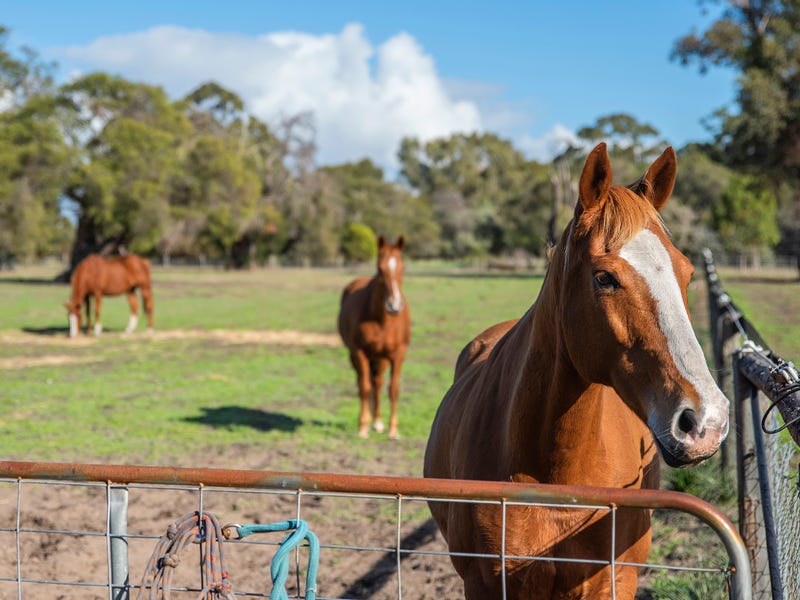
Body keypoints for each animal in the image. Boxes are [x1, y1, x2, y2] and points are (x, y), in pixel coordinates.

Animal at [340, 237, 412, 438]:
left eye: (402, 267)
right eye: (380, 269)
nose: (394, 305)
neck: (382, 321)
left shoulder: (398, 354)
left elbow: (393, 389)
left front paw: (393, 430)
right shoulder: (360, 353)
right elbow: (364, 388)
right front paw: (363, 427)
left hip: (382, 358)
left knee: (378, 383)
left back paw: (378, 422)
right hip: (357, 356)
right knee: (365, 383)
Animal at [424, 145, 732, 600]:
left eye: (687, 272)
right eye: (604, 277)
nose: (706, 421)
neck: (554, 479)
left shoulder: (613, 581)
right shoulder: (483, 583)